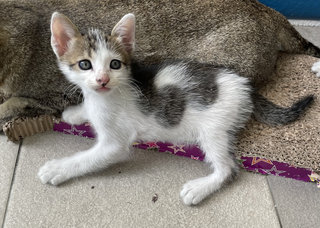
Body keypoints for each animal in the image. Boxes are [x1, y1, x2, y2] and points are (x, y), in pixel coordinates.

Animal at [38, 12, 314, 205]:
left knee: (229, 169)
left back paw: (199, 189)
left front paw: (57, 169)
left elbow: (88, 158)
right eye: (84, 64)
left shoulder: (115, 144)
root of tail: (243, 84)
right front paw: (75, 112)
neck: (106, 97)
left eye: (114, 64)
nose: (102, 80)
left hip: (214, 128)